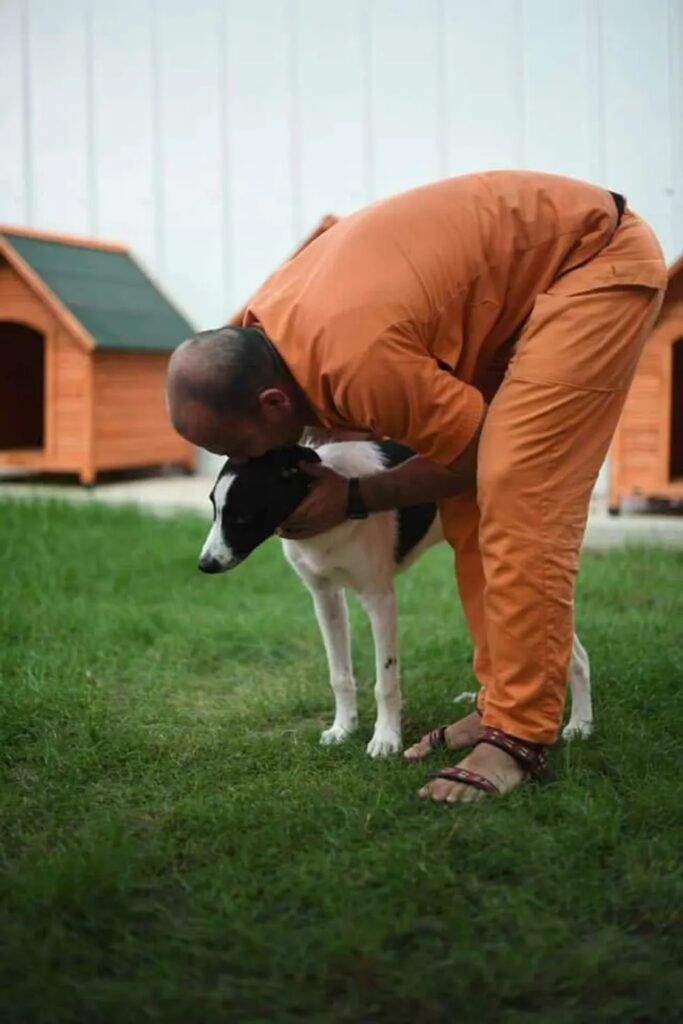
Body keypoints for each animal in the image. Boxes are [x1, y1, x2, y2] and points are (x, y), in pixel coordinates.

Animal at [198, 436, 593, 757]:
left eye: (243, 516)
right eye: (214, 508)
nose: (204, 564)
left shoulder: (380, 599)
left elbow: (385, 682)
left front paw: (386, 739)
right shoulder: (325, 596)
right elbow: (339, 674)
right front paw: (343, 728)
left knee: (575, 656)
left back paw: (580, 725)